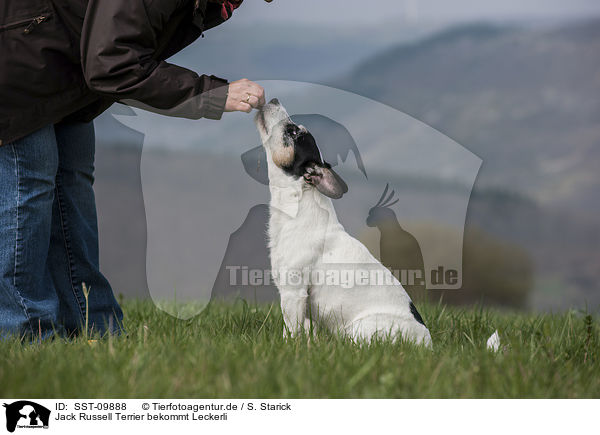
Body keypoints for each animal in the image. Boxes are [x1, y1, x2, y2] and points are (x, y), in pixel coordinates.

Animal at [255, 99, 434, 348]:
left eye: (293, 132)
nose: (273, 100)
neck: (298, 202)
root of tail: (426, 344)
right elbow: (303, 332)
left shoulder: (293, 292)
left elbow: (290, 331)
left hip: (359, 330)